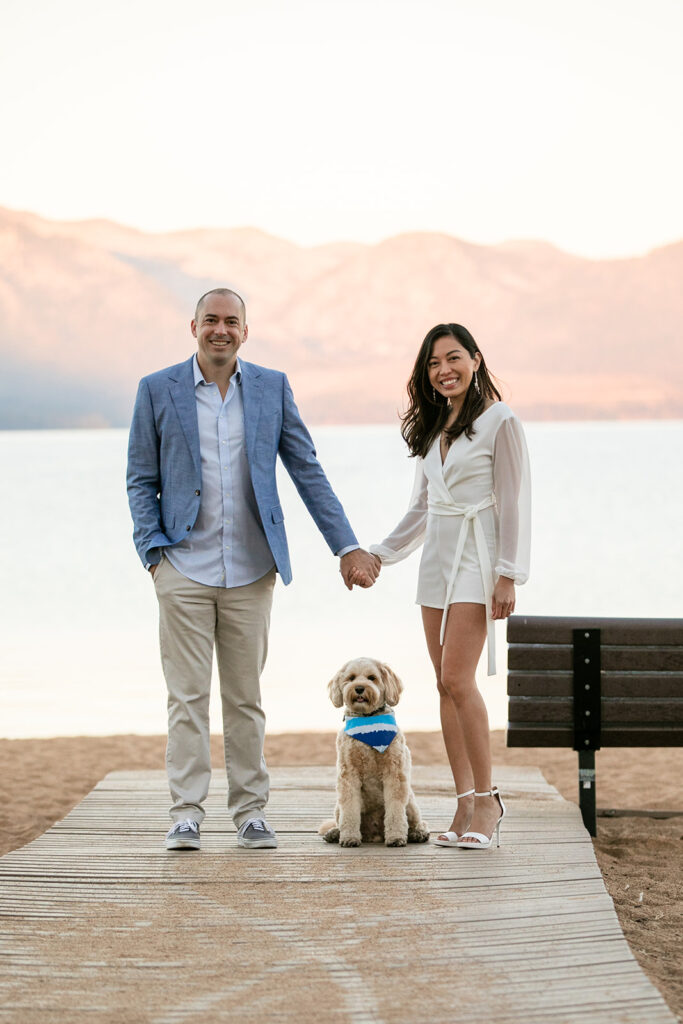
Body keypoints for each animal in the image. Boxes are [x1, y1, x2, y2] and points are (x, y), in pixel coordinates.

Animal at [319, 655, 428, 847]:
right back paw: (334, 833)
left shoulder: (394, 774)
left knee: (418, 822)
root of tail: (375, 834)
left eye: (372, 678)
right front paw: (349, 837)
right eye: (351, 678)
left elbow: (395, 811)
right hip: (338, 807)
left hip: (411, 802)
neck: (367, 721)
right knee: (340, 819)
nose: (359, 688)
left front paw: (396, 837)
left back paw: (418, 833)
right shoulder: (348, 776)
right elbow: (350, 811)